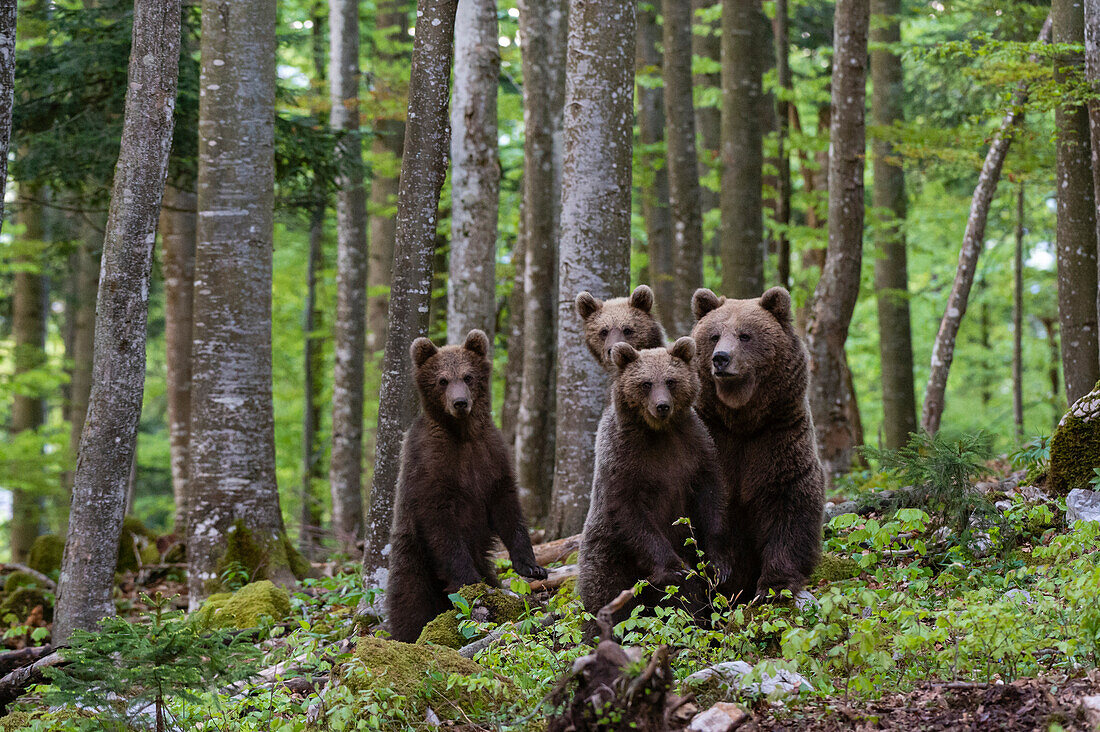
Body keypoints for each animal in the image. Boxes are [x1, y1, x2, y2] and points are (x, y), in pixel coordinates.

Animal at [385, 328, 547, 642]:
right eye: (442, 380)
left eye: (468, 376)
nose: (460, 402)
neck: (462, 434)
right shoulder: (430, 465)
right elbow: (442, 528)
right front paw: (469, 580)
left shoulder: (491, 457)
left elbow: (508, 508)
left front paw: (532, 566)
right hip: (412, 560)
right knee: (409, 601)